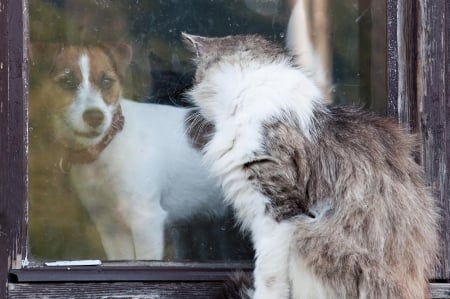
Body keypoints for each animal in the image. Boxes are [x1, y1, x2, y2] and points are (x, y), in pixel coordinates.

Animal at [31, 43, 227, 262]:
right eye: (68, 81)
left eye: (107, 82)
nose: (95, 117)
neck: (109, 144)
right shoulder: (110, 227)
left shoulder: (146, 221)